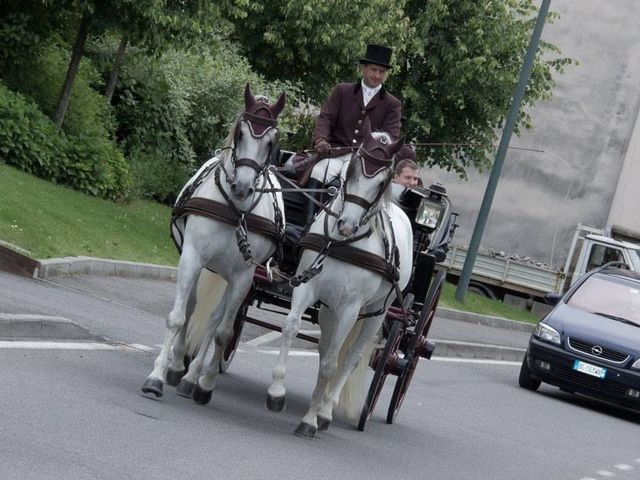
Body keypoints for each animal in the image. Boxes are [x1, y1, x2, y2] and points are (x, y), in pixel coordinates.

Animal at [145, 84, 288, 400]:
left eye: (271, 141)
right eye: (241, 133)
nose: (242, 187)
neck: (235, 212)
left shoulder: (244, 276)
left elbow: (223, 331)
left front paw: (203, 383)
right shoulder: (192, 258)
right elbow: (178, 317)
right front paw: (157, 376)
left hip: (230, 277)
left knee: (214, 322)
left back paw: (191, 377)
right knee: (190, 311)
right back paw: (177, 365)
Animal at [264, 118, 410, 436]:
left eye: (382, 182)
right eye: (352, 170)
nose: (345, 225)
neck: (342, 244)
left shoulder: (350, 309)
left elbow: (334, 362)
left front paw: (311, 418)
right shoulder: (308, 286)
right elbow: (291, 328)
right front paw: (277, 391)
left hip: (375, 314)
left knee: (351, 357)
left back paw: (326, 410)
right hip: (329, 309)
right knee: (324, 349)